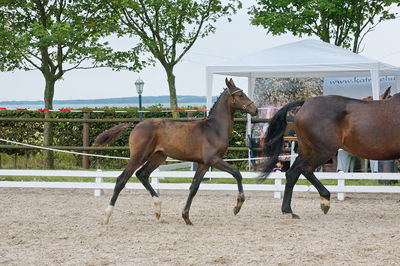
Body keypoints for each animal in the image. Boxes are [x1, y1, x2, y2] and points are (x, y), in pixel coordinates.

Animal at [93, 78, 256, 225]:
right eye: (240, 95)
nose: (255, 109)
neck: (214, 129)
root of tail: (136, 125)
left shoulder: (203, 164)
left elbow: (194, 188)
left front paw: (186, 217)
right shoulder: (213, 160)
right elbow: (237, 173)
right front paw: (237, 206)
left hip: (158, 157)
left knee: (142, 174)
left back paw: (158, 210)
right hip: (139, 156)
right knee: (122, 179)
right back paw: (106, 216)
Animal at [260, 87, 394, 218]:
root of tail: (306, 102)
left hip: (307, 150)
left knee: (293, 173)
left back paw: (288, 210)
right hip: (324, 151)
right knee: (305, 168)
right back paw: (324, 200)